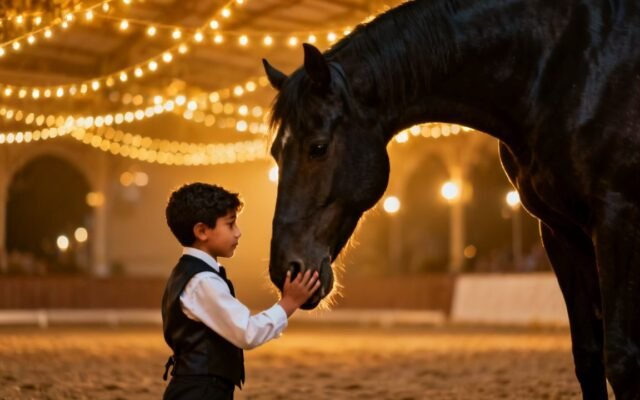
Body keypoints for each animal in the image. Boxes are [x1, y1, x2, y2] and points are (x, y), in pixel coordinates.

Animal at [262, 0, 640, 398]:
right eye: (275, 153)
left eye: (318, 148)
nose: (285, 269)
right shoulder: (561, 232)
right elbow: (588, 354)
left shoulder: (617, 217)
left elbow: (622, 360)